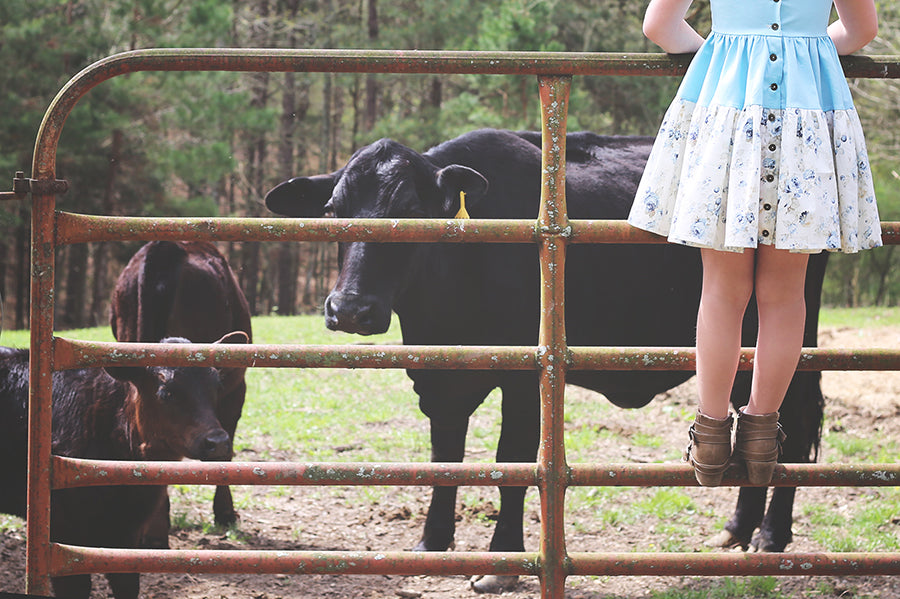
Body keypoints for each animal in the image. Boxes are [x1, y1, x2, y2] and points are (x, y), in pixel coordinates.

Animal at [0, 336, 246, 596]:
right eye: (166, 393)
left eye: (217, 388)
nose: (218, 442)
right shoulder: (61, 531)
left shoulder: (128, 532)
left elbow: (126, 584)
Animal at [264, 129, 828, 592]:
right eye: (333, 211)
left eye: (415, 212)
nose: (350, 308)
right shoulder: (439, 378)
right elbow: (445, 455)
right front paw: (431, 542)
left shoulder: (523, 378)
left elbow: (512, 460)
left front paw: (501, 562)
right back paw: (736, 530)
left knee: (797, 424)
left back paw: (771, 536)